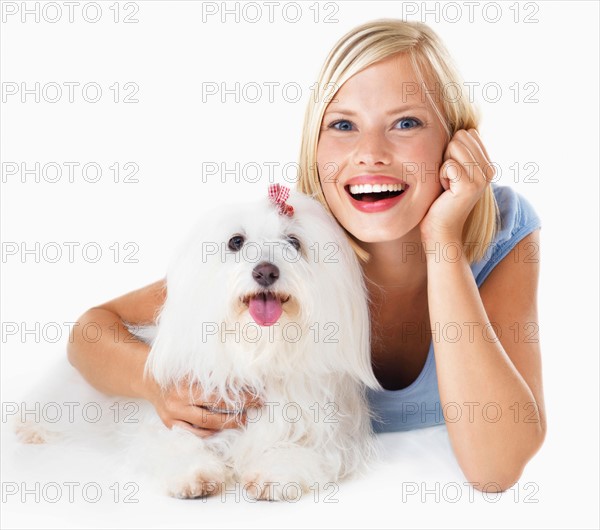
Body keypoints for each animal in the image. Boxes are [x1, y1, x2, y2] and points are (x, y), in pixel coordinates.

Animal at [12, 185, 380, 500]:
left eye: (293, 242)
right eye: (236, 241)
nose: (265, 271)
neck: (259, 351)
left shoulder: (324, 431)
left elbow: (300, 450)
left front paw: (275, 473)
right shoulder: (176, 418)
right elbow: (178, 443)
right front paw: (195, 474)